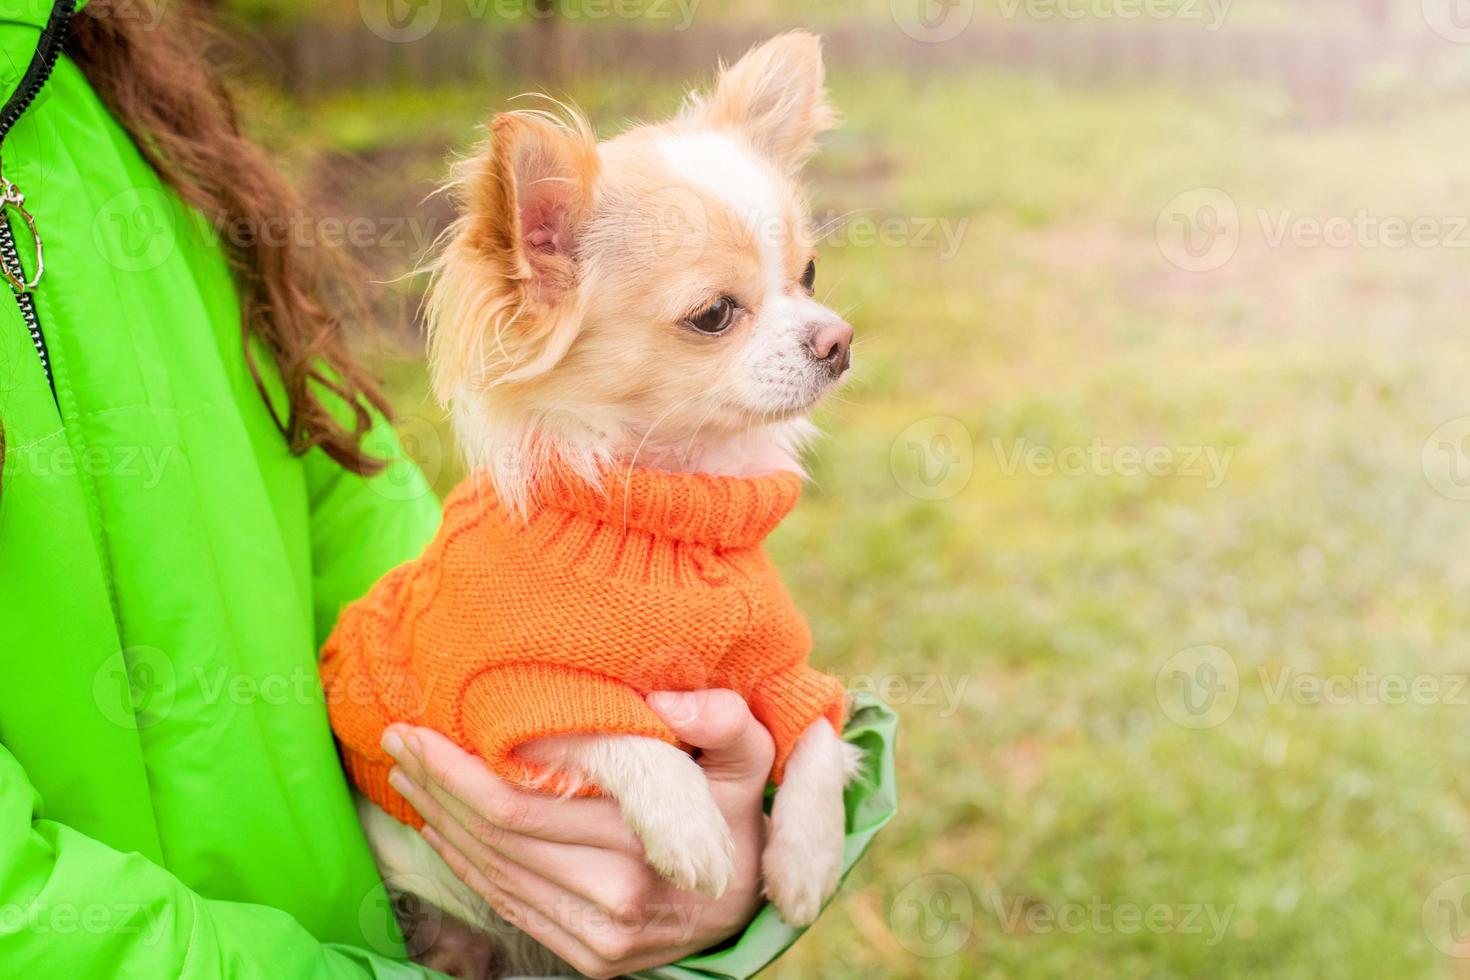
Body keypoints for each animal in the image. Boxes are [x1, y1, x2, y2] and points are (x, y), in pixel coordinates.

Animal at [345, 32, 858, 980]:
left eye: (809, 274)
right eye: (714, 313)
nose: (838, 339)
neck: (667, 507)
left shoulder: (776, 669)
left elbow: (813, 729)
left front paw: (808, 857)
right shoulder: (494, 697)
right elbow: (616, 728)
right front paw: (692, 827)